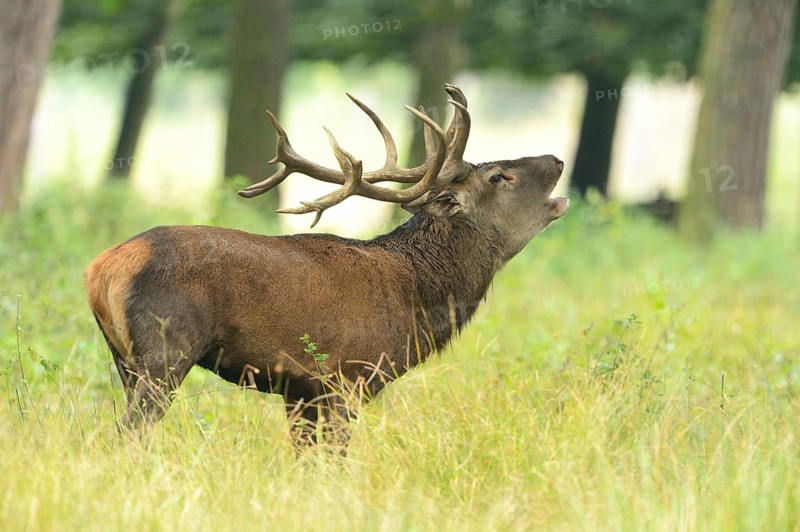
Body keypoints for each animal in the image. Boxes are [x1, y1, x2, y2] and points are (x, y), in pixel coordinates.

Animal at [85, 84, 569, 443]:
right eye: (499, 176)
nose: (558, 158)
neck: (413, 299)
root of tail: (100, 271)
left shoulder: (299, 391)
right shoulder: (346, 377)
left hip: (123, 358)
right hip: (166, 348)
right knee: (130, 434)